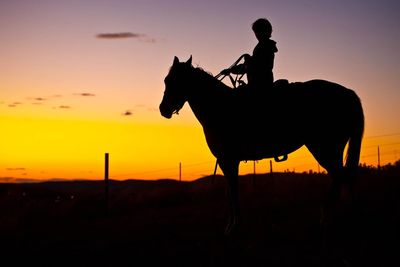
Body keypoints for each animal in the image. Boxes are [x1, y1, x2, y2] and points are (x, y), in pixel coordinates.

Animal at [159, 56, 362, 234]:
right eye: (166, 80)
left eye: (177, 81)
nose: (163, 109)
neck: (220, 107)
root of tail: (348, 93)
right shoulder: (228, 161)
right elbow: (229, 192)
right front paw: (232, 225)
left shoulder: (228, 160)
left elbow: (232, 192)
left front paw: (233, 227)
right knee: (344, 177)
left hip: (325, 148)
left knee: (340, 177)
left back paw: (326, 219)